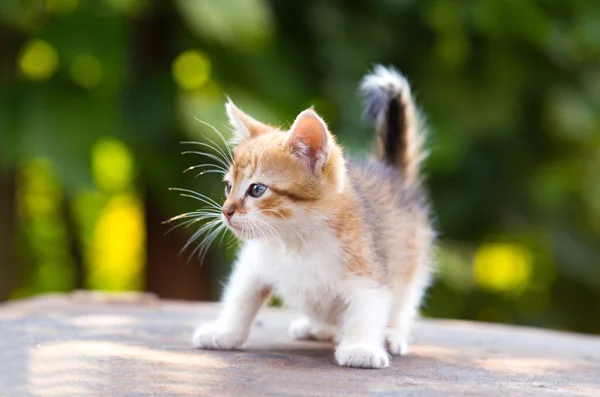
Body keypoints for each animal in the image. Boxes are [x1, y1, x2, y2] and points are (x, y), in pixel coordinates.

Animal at [192, 65, 436, 368]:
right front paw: (225, 332)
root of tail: (391, 174)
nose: (226, 211)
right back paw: (317, 328)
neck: (297, 239)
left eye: (257, 189)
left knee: (403, 304)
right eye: (228, 187)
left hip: (412, 266)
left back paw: (392, 335)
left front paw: (361, 347)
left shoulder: (369, 266)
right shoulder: (254, 263)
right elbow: (241, 297)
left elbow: (368, 308)